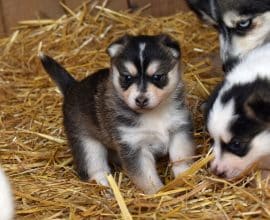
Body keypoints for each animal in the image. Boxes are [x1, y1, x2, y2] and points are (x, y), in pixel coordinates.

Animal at [39, 34, 194, 194]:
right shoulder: (133, 147)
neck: (154, 114)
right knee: (95, 168)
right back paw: (106, 186)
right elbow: (146, 177)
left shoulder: (179, 130)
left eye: (158, 77)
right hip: (87, 144)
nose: (141, 100)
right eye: (127, 77)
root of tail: (72, 87)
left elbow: (181, 156)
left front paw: (184, 175)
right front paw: (157, 193)